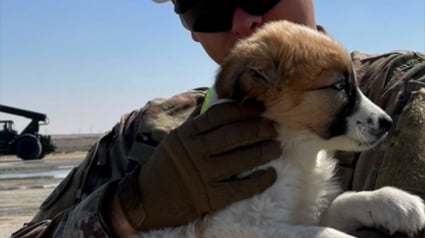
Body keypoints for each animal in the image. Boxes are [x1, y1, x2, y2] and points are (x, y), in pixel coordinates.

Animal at [137, 20, 422, 238]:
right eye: (340, 86)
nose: (387, 122)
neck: (296, 154)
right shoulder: (233, 225)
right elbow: (324, 234)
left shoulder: (307, 212)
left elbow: (343, 202)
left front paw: (397, 203)